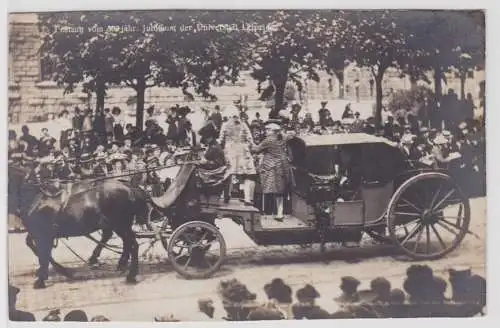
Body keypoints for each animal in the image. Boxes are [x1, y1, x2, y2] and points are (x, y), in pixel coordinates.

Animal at [7, 165, 148, 288]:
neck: (36, 197)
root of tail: (128, 186)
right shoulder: (40, 233)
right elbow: (37, 249)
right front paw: (57, 271)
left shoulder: (43, 233)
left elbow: (43, 253)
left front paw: (42, 279)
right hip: (118, 225)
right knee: (124, 242)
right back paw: (119, 265)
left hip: (120, 224)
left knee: (132, 245)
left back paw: (130, 275)